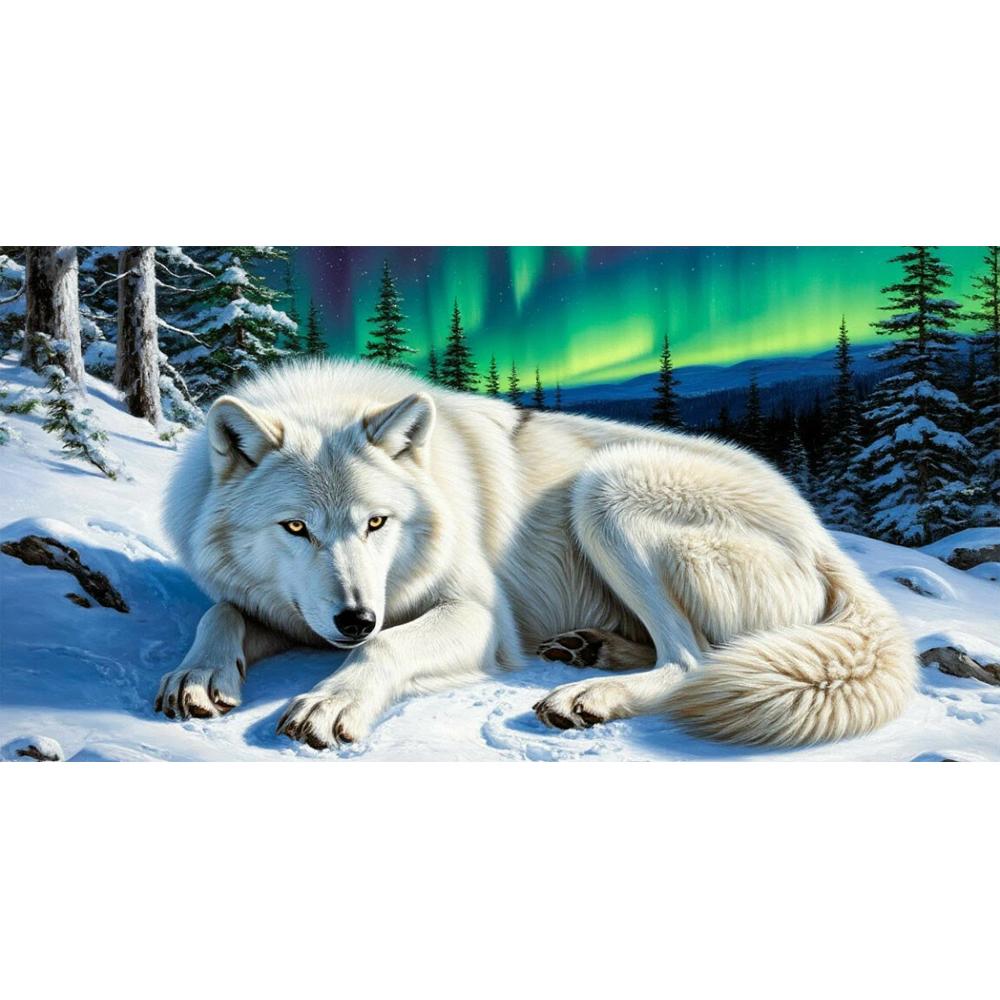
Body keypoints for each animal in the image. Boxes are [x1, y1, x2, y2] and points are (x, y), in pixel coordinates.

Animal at [157, 359, 915, 750]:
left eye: (376, 522)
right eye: (295, 529)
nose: (354, 619)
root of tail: (824, 540)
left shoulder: (477, 614)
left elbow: (389, 647)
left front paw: (329, 701)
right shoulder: (285, 606)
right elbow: (221, 613)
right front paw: (197, 676)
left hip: (609, 487)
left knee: (695, 659)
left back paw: (589, 694)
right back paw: (590, 650)